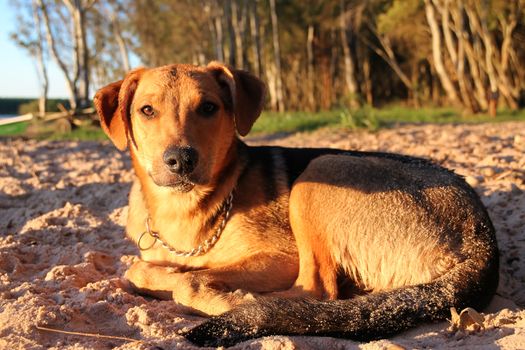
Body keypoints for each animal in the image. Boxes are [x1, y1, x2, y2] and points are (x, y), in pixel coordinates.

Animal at [92, 62, 498, 348]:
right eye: (147, 110)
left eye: (208, 107)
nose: (180, 160)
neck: (185, 207)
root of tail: (482, 240)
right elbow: (138, 269)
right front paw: (169, 272)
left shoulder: (280, 257)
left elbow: (188, 281)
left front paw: (220, 292)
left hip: (320, 172)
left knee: (316, 294)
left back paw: (258, 306)